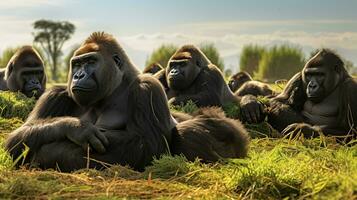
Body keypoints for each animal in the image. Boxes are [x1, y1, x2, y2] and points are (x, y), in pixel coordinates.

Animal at [6, 32, 250, 171]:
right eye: (76, 64)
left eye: (90, 61)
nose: (78, 75)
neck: (114, 88)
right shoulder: (56, 93)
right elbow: (17, 138)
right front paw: (75, 128)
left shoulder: (147, 88)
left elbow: (147, 145)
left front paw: (58, 151)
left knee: (188, 131)